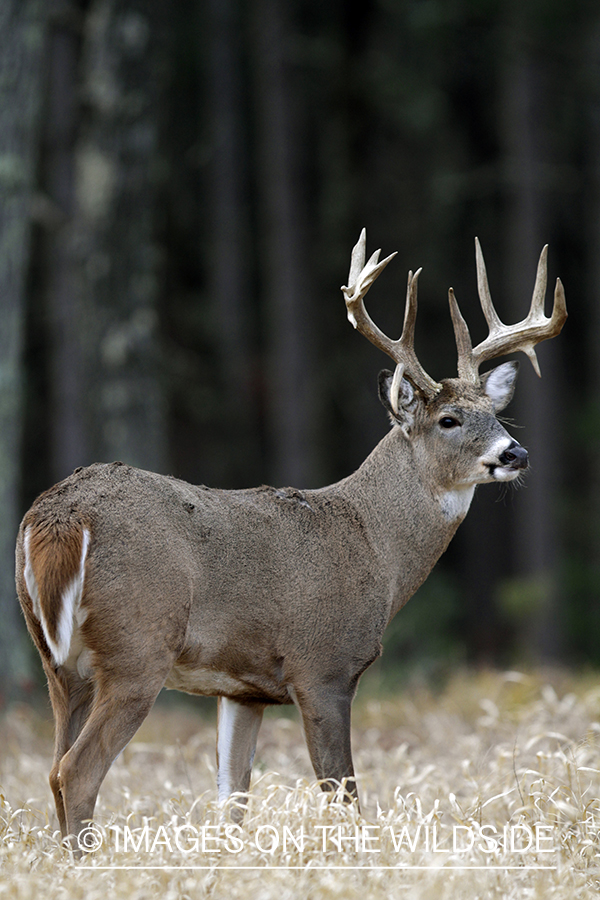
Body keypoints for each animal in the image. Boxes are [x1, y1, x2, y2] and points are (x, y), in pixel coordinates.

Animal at [15, 227, 568, 852]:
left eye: (497, 414)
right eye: (448, 419)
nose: (515, 453)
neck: (374, 547)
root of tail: (58, 517)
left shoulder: (243, 689)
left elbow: (232, 798)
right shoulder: (323, 664)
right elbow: (344, 795)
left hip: (59, 663)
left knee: (53, 768)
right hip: (137, 645)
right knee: (75, 770)